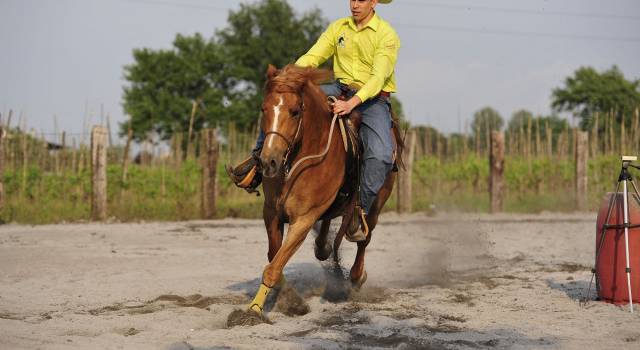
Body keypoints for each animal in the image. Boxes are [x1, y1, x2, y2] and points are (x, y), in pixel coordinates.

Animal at [248, 63, 402, 318]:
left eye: (295, 112)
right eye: (263, 109)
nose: (269, 161)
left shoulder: (303, 219)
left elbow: (273, 266)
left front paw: (253, 310)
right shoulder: (270, 212)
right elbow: (274, 258)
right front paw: (290, 300)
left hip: (376, 204)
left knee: (364, 237)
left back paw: (357, 276)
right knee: (328, 231)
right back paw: (324, 246)